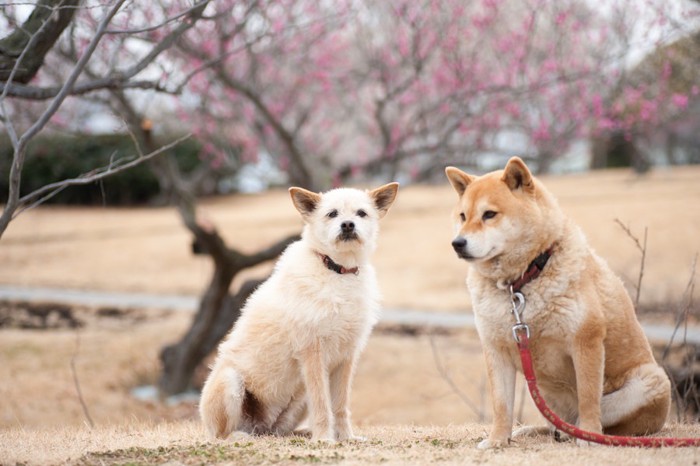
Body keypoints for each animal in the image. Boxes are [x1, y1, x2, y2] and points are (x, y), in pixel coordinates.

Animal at [200, 181, 400, 440]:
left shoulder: (346, 356)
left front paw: (346, 437)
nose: (347, 225)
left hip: (293, 405)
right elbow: (322, 404)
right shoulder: (312, 353)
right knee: (220, 435)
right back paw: (238, 436)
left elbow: (340, 405)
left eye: (361, 213)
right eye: (332, 214)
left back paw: (303, 433)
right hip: (230, 381)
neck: (336, 271)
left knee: (278, 431)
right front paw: (324, 439)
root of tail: (260, 427)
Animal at [446, 158, 668, 450]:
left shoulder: (586, 341)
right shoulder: (496, 349)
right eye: (463, 216)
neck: (521, 281)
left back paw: (586, 434)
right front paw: (497, 441)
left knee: (598, 420)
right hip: (546, 396)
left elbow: (588, 398)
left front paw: (590, 438)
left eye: (489, 214)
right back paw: (536, 431)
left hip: (649, 383)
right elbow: (501, 405)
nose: (457, 243)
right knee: (555, 424)